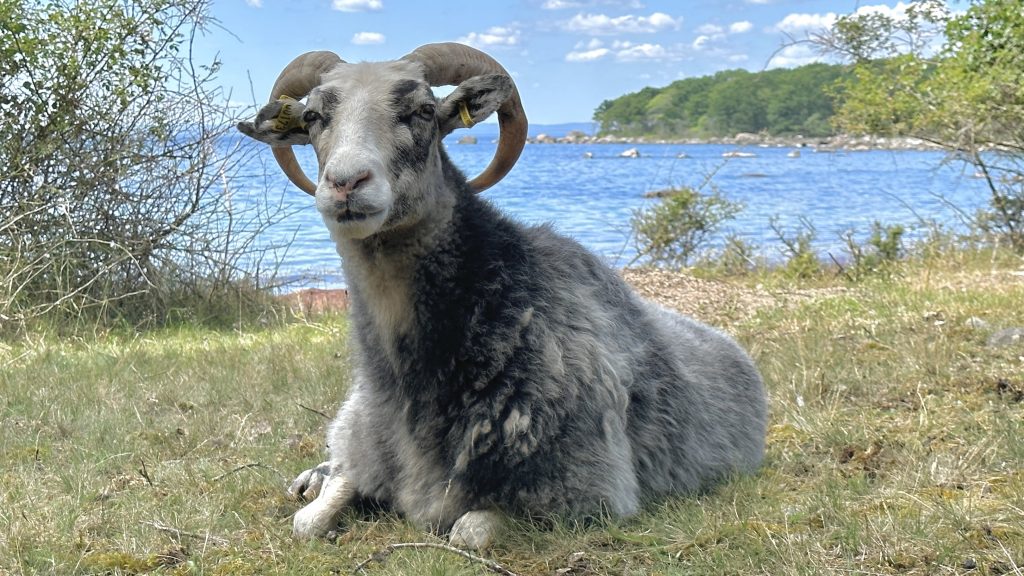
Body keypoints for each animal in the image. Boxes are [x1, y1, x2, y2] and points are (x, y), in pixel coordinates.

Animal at [237, 42, 768, 550]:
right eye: (312, 117)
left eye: (424, 110)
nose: (346, 183)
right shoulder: (367, 451)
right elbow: (309, 521)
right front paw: (320, 491)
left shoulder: (590, 493)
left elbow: (469, 531)